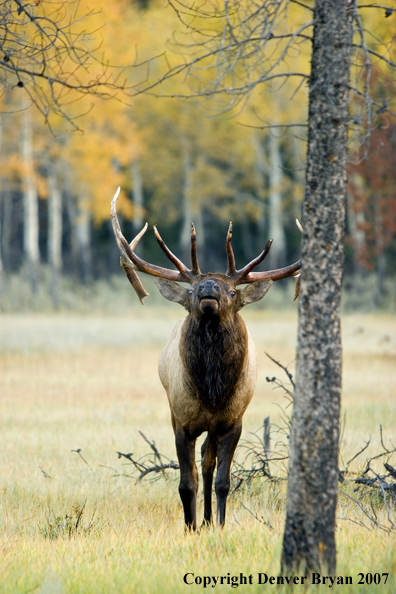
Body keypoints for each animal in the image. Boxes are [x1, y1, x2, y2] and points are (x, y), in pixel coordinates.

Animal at [110, 188, 300, 528]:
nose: (208, 288)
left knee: (209, 463)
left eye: (233, 292)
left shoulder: (233, 421)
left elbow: (223, 480)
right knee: (201, 466)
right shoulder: (182, 420)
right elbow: (187, 483)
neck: (212, 392)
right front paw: (190, 527)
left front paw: (220, 524)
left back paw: (210, 520)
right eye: (190, 291)